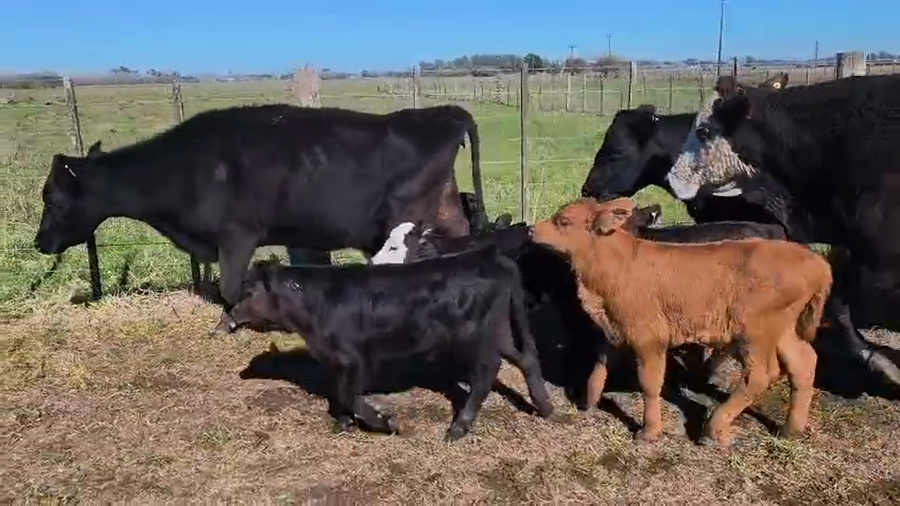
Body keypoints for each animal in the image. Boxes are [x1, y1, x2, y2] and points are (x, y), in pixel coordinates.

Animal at [32, 103, 486, 334]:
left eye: (51, 199)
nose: (39, 243)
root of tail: (441, 112)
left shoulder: (237, 235)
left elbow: (230, 287)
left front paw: (232, 323)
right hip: (444, 209)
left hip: (404, 219)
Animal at [225, 249, 555, 442]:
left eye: (249, 291)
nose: (229, 315)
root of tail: (493, 259)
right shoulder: (337, 361)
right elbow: (339, 392)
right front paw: (343, 425)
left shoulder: (354, 357)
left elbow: (348, 394)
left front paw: (388, 423)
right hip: (500, 329)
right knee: (526, 358)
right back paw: (545, 407)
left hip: (475, 336)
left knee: (488, 370)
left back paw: (457, 429)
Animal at [531, 197, 832, 446]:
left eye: (563, 221)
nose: (532, 230)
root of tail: (816, 262)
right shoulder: (615, 329)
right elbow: (600, 366)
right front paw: (588, 402)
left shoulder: (648, 336)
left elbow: (650, 383)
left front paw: (649, 431)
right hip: (782, 330)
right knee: (804, 363)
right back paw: (790, 429)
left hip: (755, 333)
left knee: (759, 375)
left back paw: (714, 429)